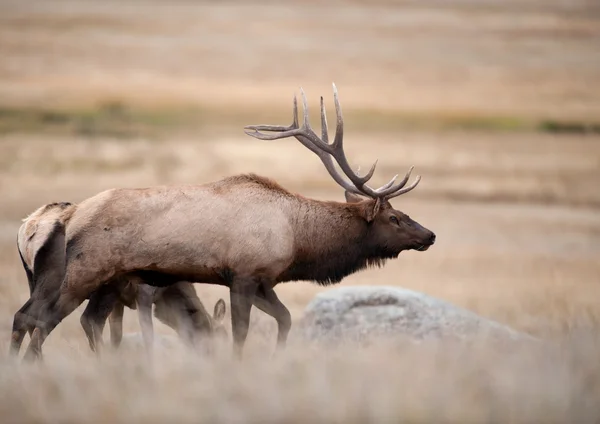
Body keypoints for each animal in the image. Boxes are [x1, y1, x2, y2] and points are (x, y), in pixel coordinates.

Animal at [16, 85, 434, 362]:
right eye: (395, 217)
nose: (429, 235)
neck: (298, 240)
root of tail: (70, 217)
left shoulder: (265, 280)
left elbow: (285, 319)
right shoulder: (243, 274)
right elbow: (241, 332)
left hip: (113, 280)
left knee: (86, 321)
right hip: (84, 272)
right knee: (42, 319)